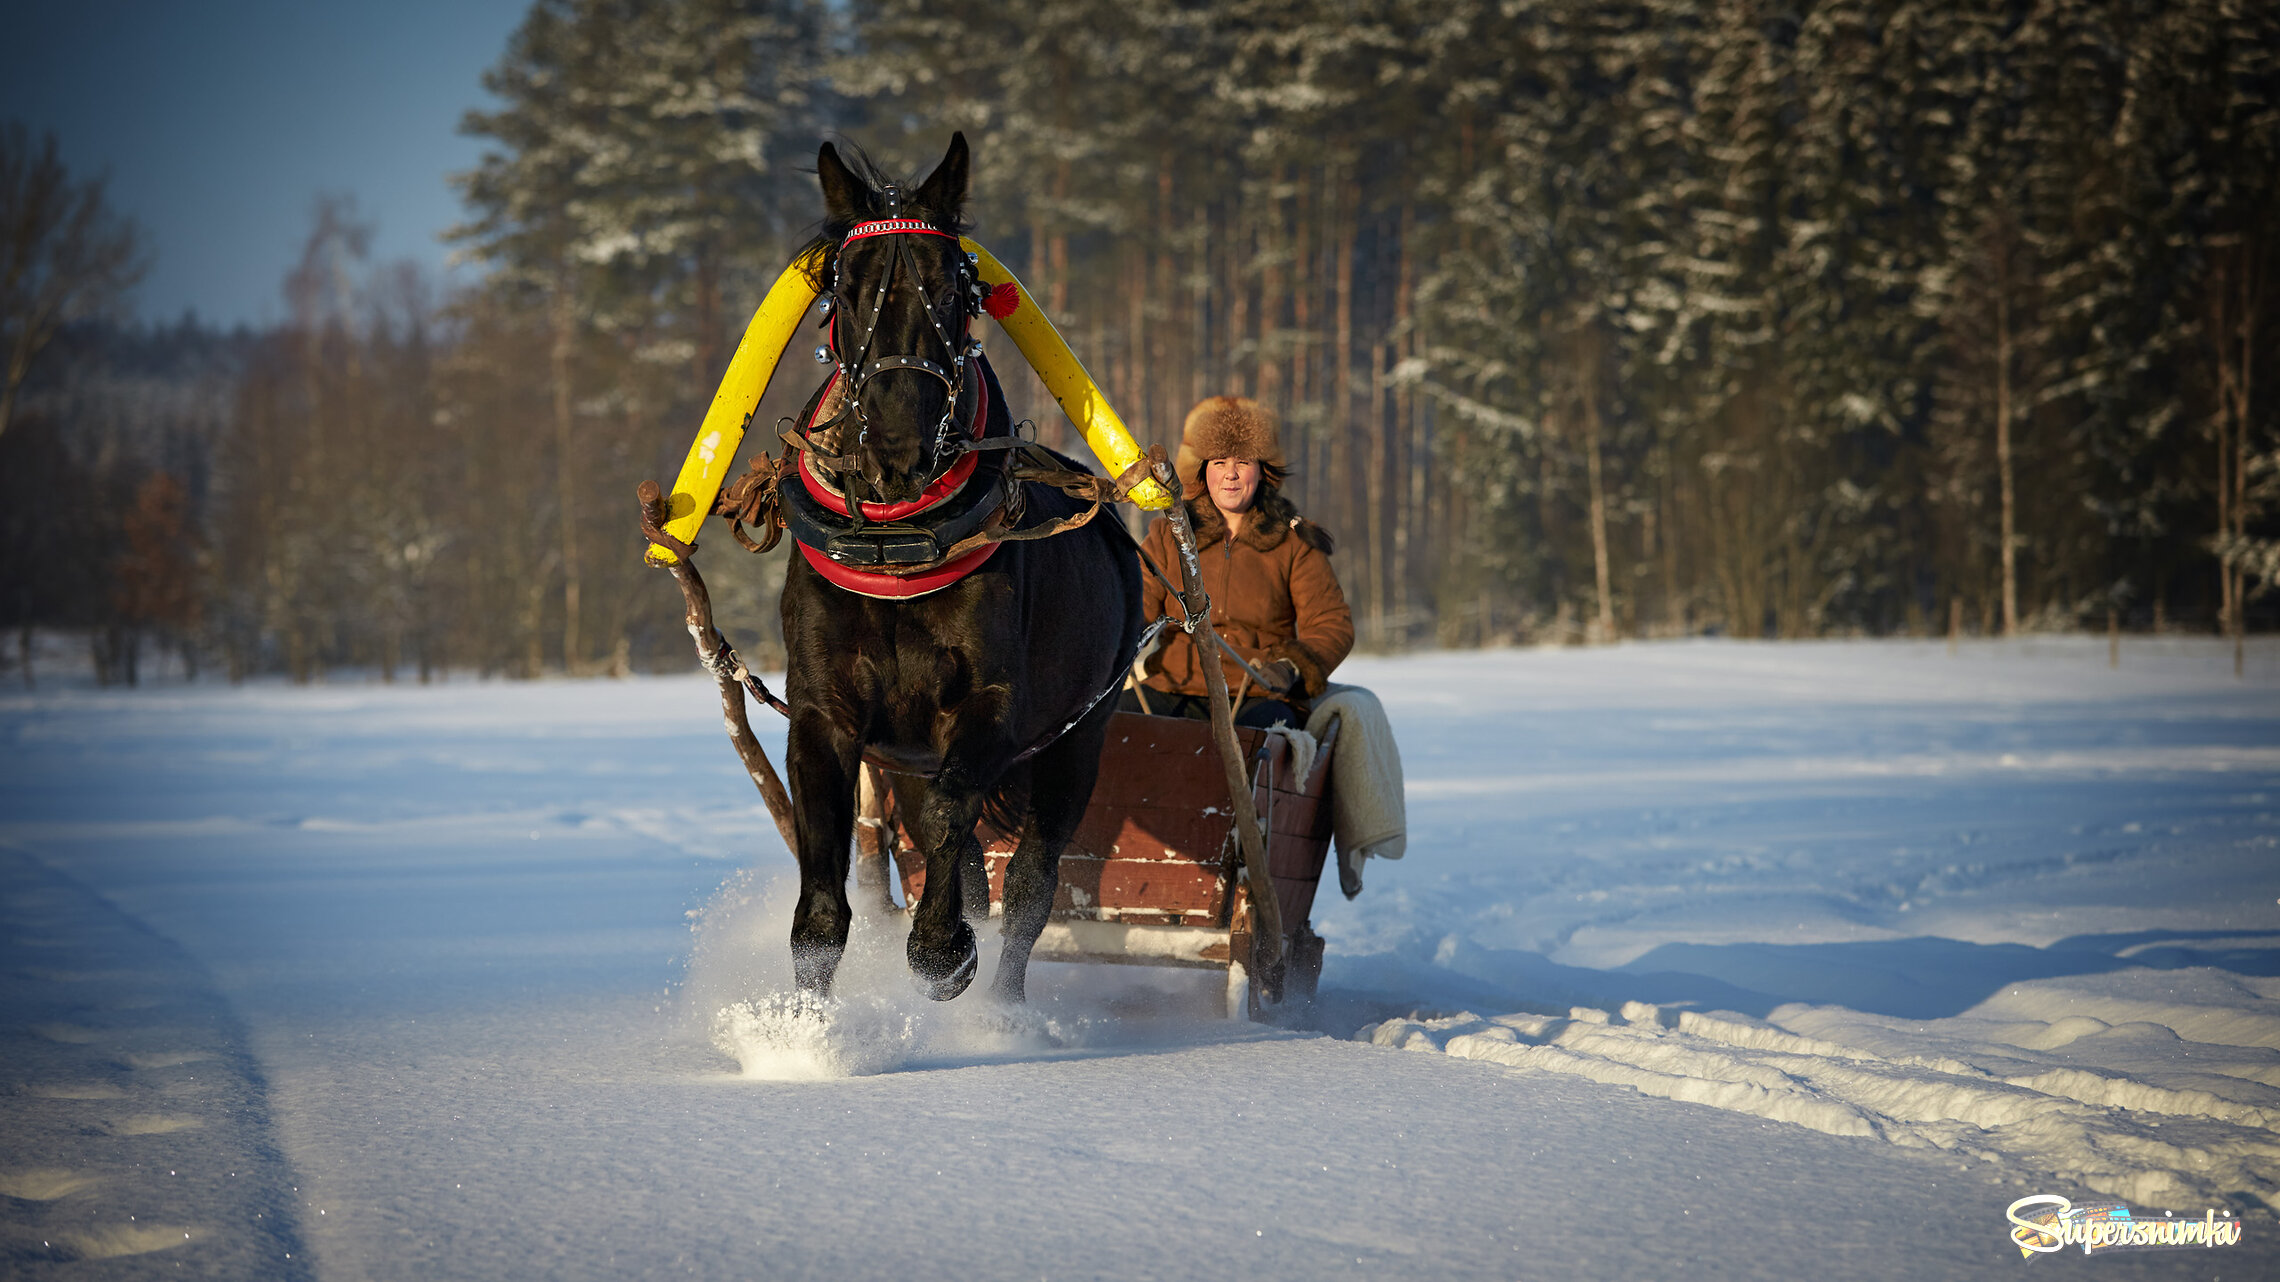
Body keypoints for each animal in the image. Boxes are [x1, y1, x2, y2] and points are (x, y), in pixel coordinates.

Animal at [779, 137, 1140, 999]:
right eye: (846, 291)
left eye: (953, 289)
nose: (897, 443)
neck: (897, 552)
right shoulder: (825, 714)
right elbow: (823, 893)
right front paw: (801, 1026)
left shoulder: (992, 708)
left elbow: (956, 820)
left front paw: (942, 950)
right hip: (907, 756)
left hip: (1079, 737)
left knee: (1033, 880)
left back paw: (1002, 1007)